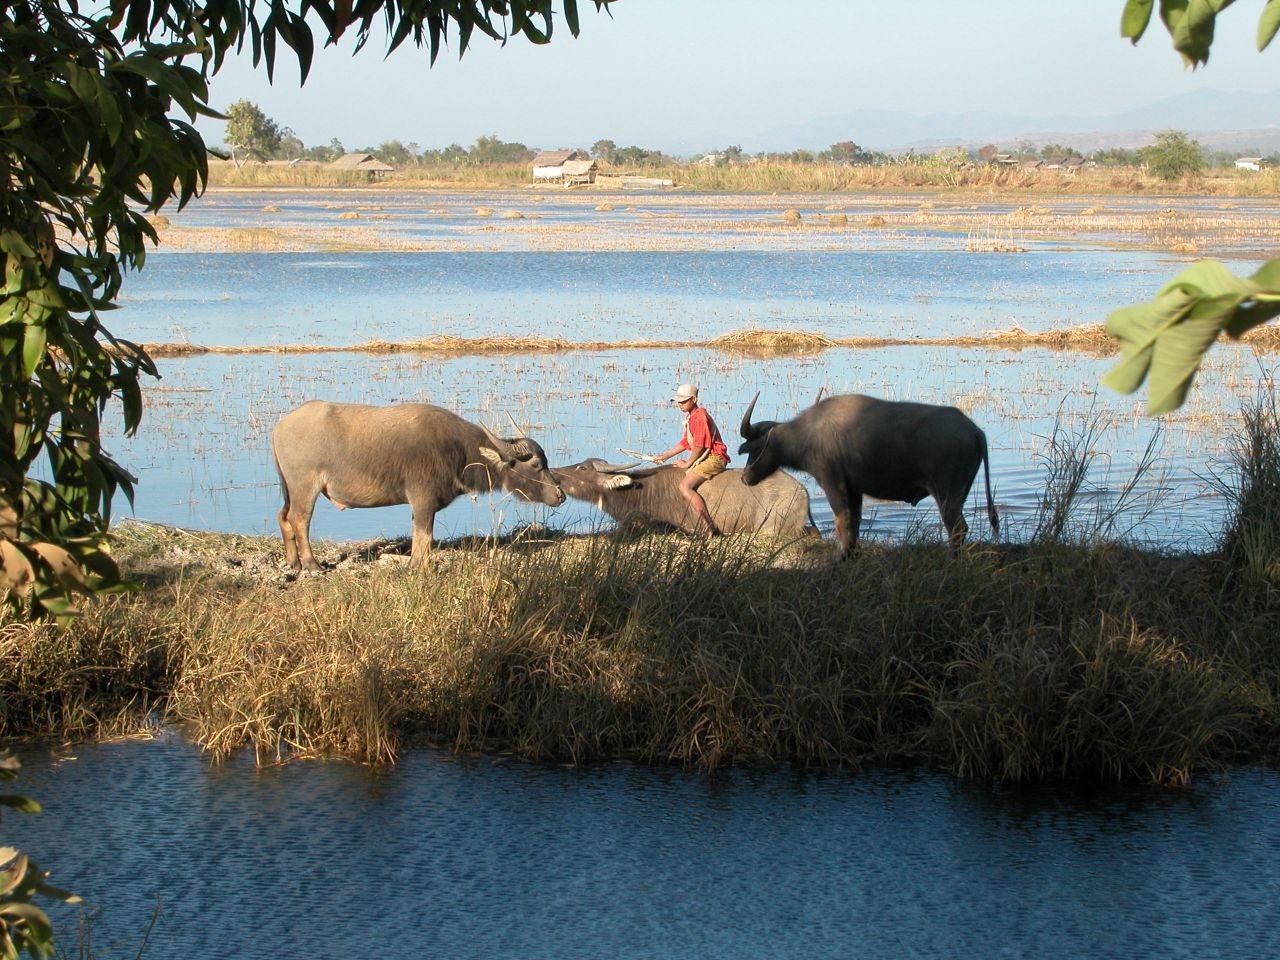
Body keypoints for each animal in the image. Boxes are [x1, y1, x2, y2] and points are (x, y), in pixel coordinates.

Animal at [271, 399, 565, 570]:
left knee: (283, 517)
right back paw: (311, 565)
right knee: (299, 520)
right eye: (536, 465)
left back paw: (293, 563)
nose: (560, 495)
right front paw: (419, 566)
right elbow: (424, 537)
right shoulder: (424, 500)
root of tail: (280, 426)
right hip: (304, 487)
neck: (459, 451)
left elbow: (418, 536)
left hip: (289, 490)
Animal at [742, 391, 998, 555]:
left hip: (947, 494)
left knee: (957, 529)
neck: (807, 433)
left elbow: (842, 522)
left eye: (754, 449)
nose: (745, 477)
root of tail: (975, 430)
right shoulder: (854, 490)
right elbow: (854, 524)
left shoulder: (833, 484)